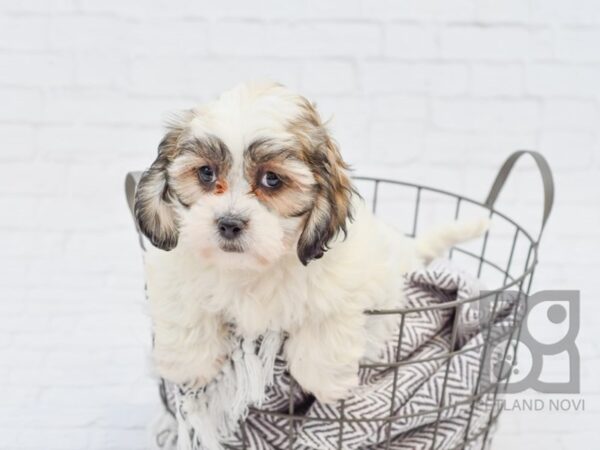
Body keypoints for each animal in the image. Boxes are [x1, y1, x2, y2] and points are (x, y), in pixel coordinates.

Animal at [135, 81, 488, 404]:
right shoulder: (174, 273)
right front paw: (191, 367)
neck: (253, 269)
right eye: (206, 173)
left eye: (272, 179)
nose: (229, 223)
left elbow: (324, 325)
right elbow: (185, 312)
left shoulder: (341, 285)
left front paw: (324, 382)